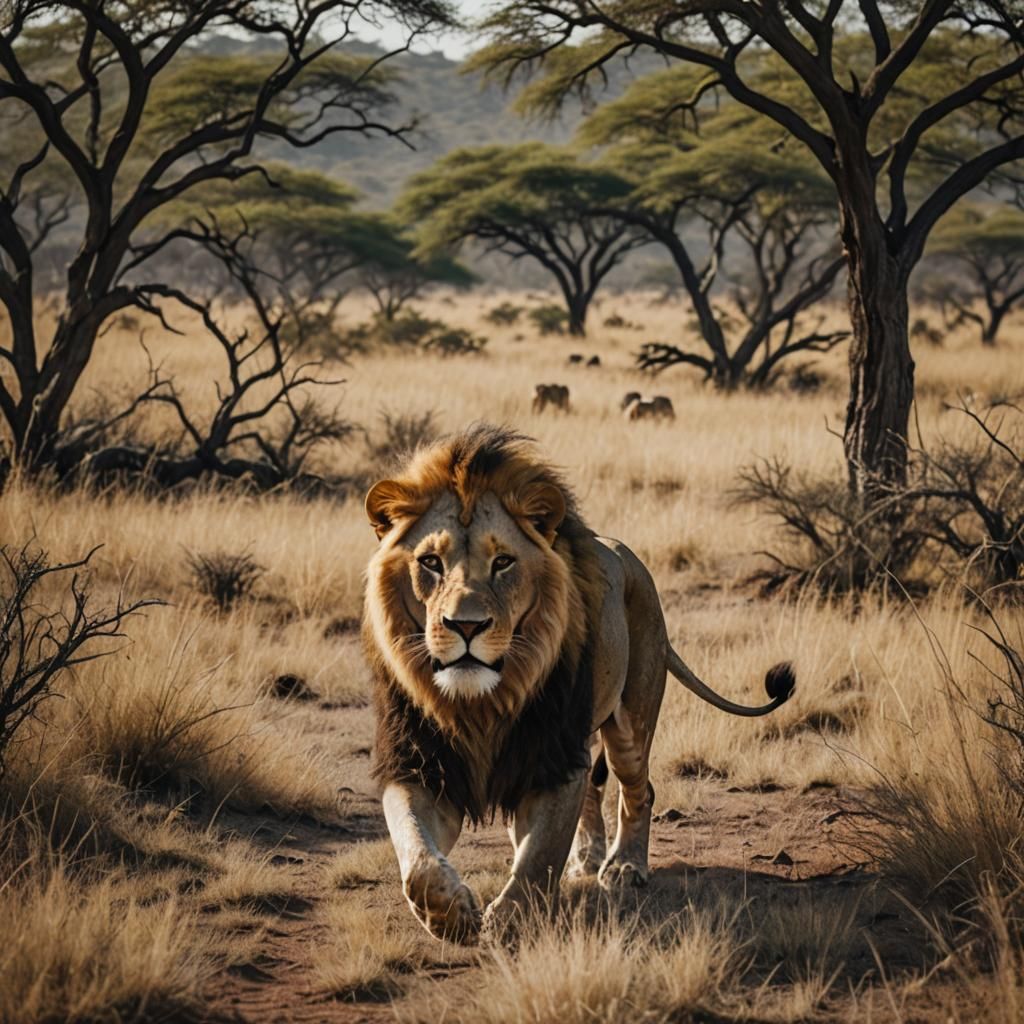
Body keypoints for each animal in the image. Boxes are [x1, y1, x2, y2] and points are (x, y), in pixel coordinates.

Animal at [363, 424, 793, 944]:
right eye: (430, 562)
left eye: (503, 562)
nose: (466, 625)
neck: (480, 703)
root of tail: (632, 561)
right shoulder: (421, 765)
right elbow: (416, 855)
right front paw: (450, 915)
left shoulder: (552, 759)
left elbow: (539, 857)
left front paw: (511, 919)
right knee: (593, 786)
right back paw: (585, 860)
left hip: (630, 721)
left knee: (638, 790)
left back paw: (624, 867)